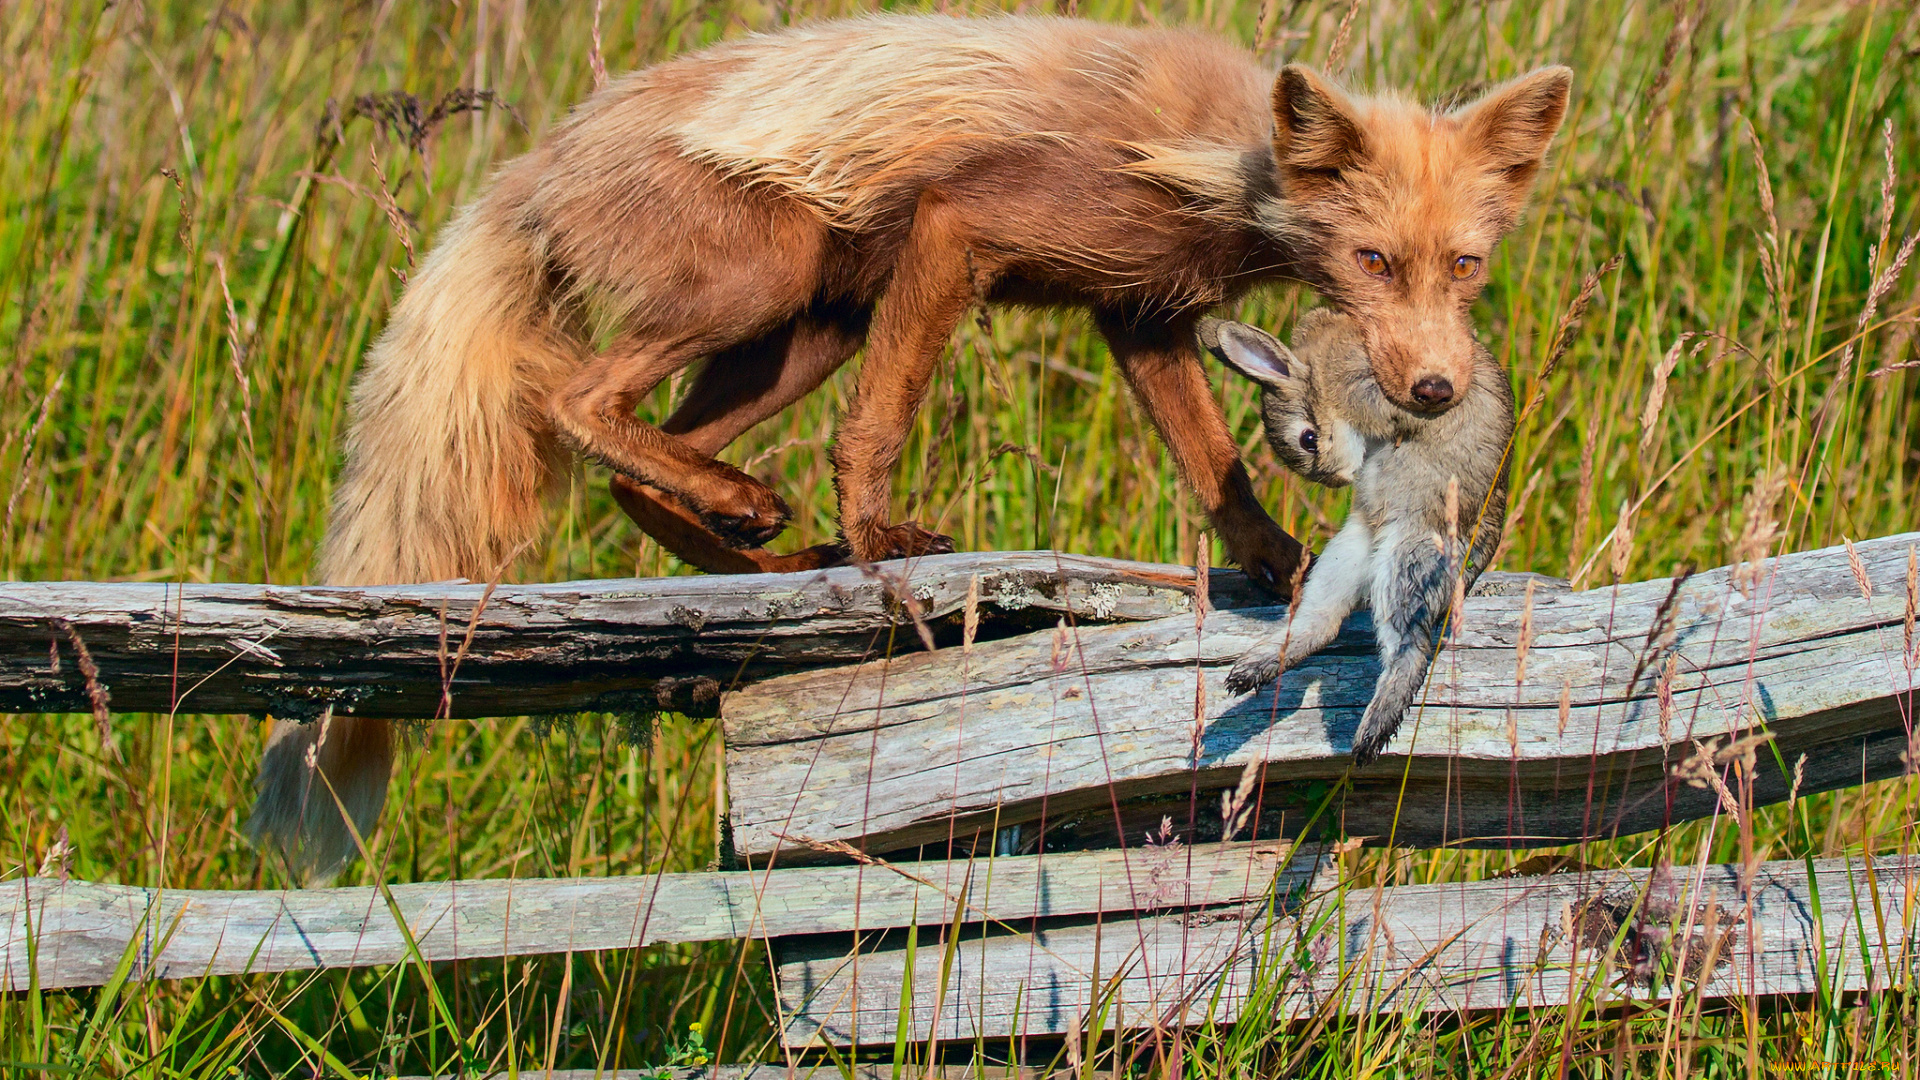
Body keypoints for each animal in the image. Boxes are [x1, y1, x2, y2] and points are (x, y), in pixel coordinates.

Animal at [251, 12, 1574, 880]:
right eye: (1370, 262)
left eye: (1464, 266)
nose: (1438, 387)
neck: (1210, 165)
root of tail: (536, 161)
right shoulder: (961, 234)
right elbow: (880, 426)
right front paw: (883, 537)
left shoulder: (1140, 316)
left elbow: (1217, 472)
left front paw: (1279, 568)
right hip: (774, 282)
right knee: (577, 405)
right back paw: (774, 521)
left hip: (810, 322)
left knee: (640, 468)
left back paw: (762, 546)